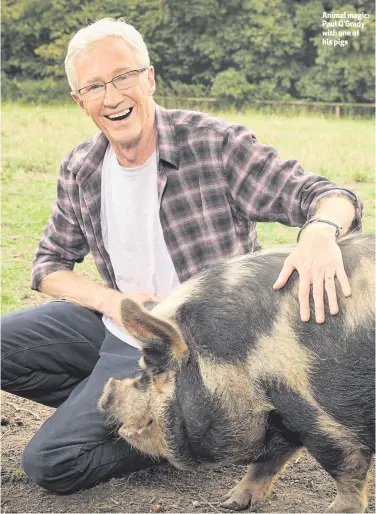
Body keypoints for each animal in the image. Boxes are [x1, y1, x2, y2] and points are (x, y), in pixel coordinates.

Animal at [98, 234, 374, 510]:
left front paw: (336, 510)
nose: (105, 394)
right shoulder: (281, 418)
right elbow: (266, 462)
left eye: (155, 367)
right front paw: (230, 503)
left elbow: (345, 467)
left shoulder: (321, 417)